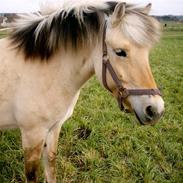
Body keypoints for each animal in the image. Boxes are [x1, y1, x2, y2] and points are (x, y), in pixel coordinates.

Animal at [0, 0, 164, 182]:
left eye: (147, 53)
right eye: (120, 52)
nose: (155, 110)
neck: (41, 70)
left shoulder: (54, 128)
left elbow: (51, 165)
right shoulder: (32, 135)